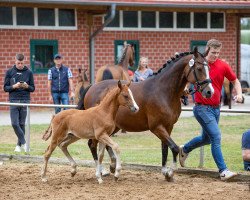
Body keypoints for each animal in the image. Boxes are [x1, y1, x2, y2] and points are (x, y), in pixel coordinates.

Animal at [77, 47, 214, 181]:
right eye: (199, 68)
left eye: (209, 67)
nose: (209, 92)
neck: (163, 91)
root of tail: (91, 87)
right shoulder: (157, 127)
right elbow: (174, 148)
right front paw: (170, 173)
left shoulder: (168, 126)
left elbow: (165, 147)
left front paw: (165, 171)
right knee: (92, 144)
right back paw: (102, 171)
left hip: (113, 126)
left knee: (104, 144)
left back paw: (112, 165)